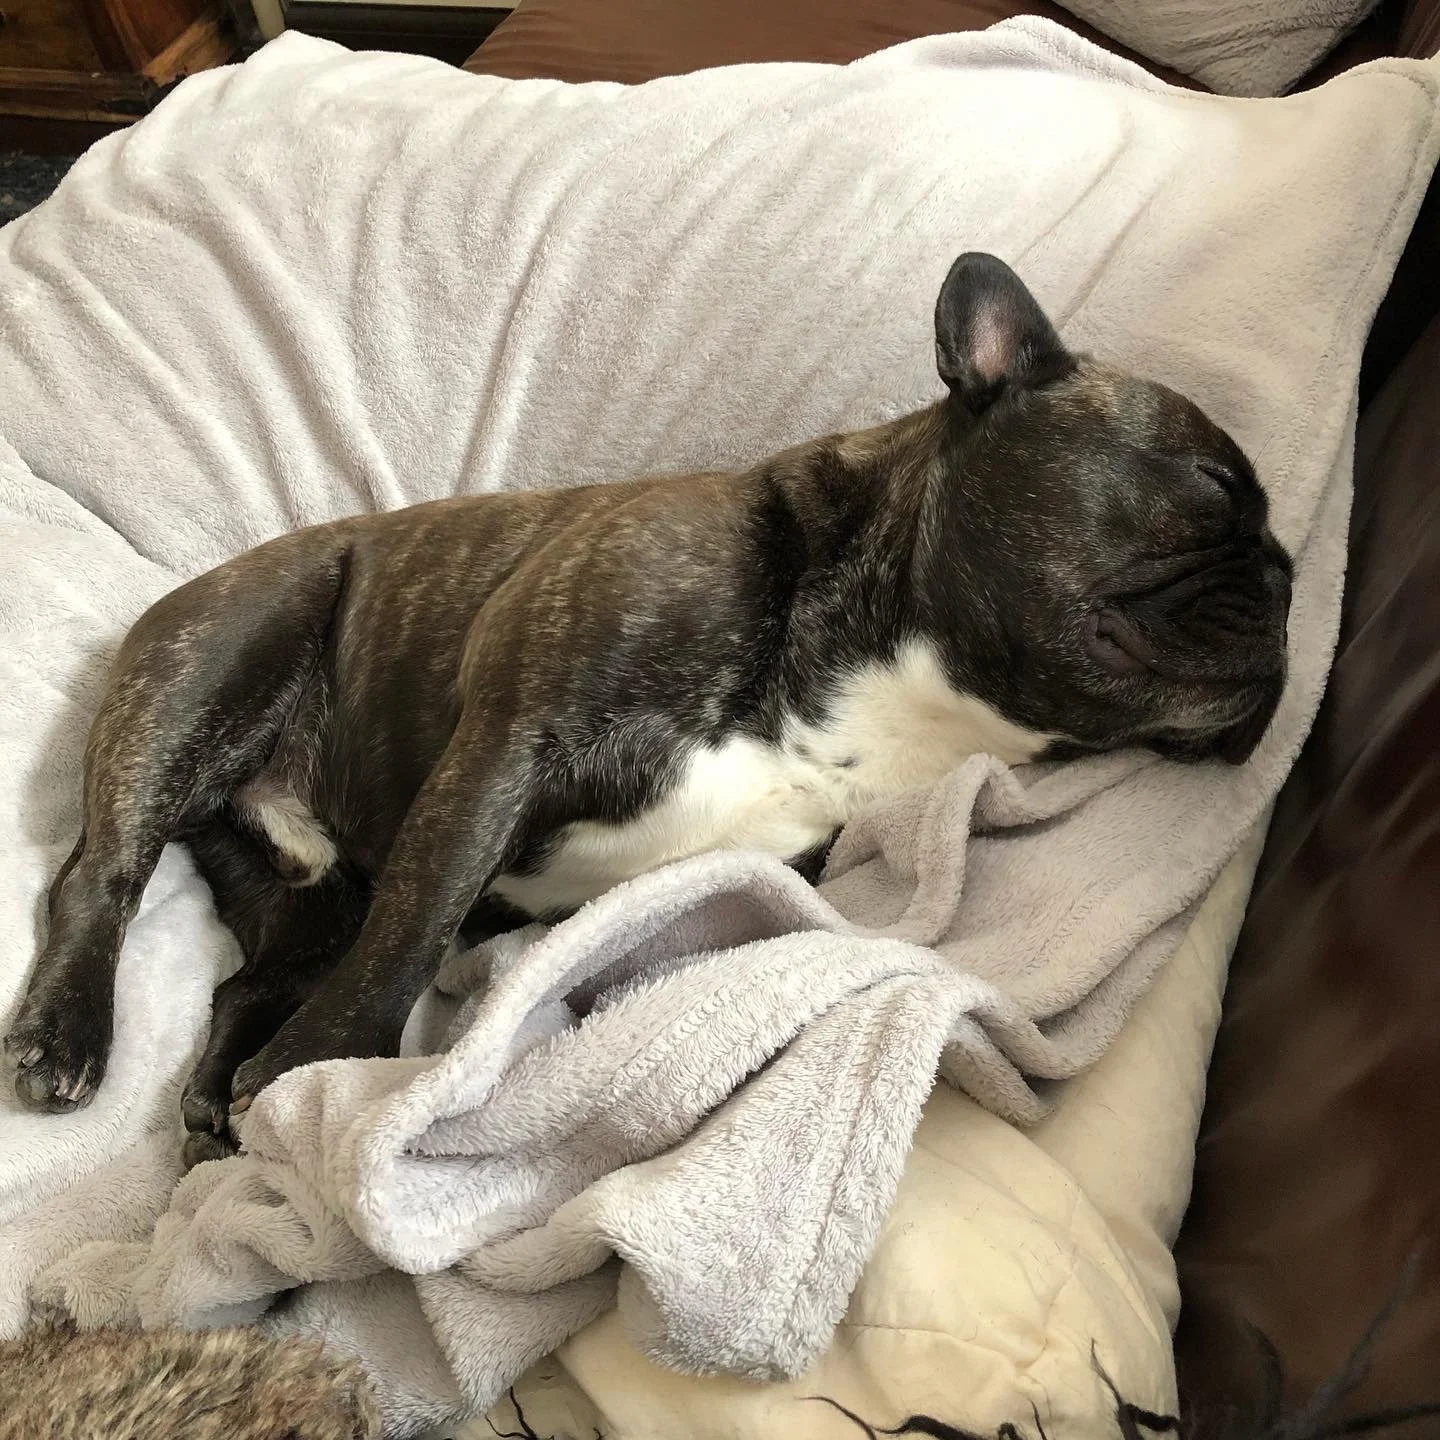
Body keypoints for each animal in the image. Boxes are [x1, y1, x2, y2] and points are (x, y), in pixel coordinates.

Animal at [4, 253, 1292, 1166]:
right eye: (1210, 483)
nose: (1289, 579)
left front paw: (281, 1082)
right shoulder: (501, 752)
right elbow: (413, 934)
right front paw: (318, 1074)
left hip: (306, 891)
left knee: (250, 974)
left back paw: (214, 1108)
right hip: (210, 667)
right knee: (98, 877)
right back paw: (68, 1036)